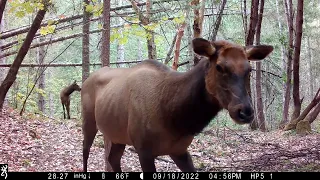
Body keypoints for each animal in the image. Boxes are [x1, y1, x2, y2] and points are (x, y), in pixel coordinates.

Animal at [81, 37, 274, 172]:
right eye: (219, 67)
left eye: (249, 69)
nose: (245, 111)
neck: (175, 119)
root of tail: (87, 79)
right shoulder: (143, 149)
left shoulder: (179, 150)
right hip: (89, 122)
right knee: (85, 152)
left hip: (117, 135)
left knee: (112, 159)